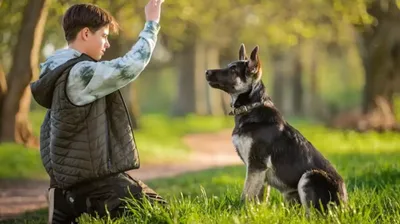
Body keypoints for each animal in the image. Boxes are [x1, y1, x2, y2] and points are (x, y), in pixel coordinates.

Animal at [205, 43, 348, 214]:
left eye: (233, 70)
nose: (207, 72)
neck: (251, 107)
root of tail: (345, 207)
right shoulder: (260, 173)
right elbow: (259, 199)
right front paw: (257, 214)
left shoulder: (256, 165)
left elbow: (246, 196)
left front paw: (242, 213)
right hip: (292, 195)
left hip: (309, 177)